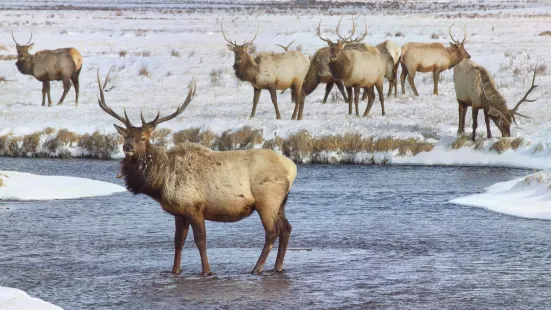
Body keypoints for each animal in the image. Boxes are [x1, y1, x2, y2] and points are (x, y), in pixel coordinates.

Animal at [97, 69, 300, 274]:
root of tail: (292, 168)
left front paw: (206, 271)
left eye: (143, 138)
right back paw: (277, 267)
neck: (161, 183)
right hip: (280, 203)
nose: (128, 147)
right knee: (287, 229)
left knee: (272, 232)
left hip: (267, 200)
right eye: (126, 136)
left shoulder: (194, 207)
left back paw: (256, 268)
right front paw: (175, 271)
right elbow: (178, 242)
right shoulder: (179, 212)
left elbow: (200, 241)